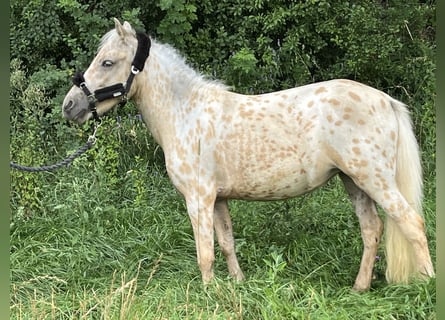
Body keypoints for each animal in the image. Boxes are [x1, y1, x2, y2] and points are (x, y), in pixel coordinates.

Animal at [62, 18, 434, 292]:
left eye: (108, 62)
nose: (70, 105)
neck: (185, 113)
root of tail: (385, 100)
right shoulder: (218, 199)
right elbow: (226, 242)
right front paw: (237, 284)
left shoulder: (198, 199)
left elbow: (205, 252)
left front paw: (208, 292)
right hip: (354, 181)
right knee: (372, 230)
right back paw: (359, 288)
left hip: (374, 180)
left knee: (412, 223)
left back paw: (427, 284)